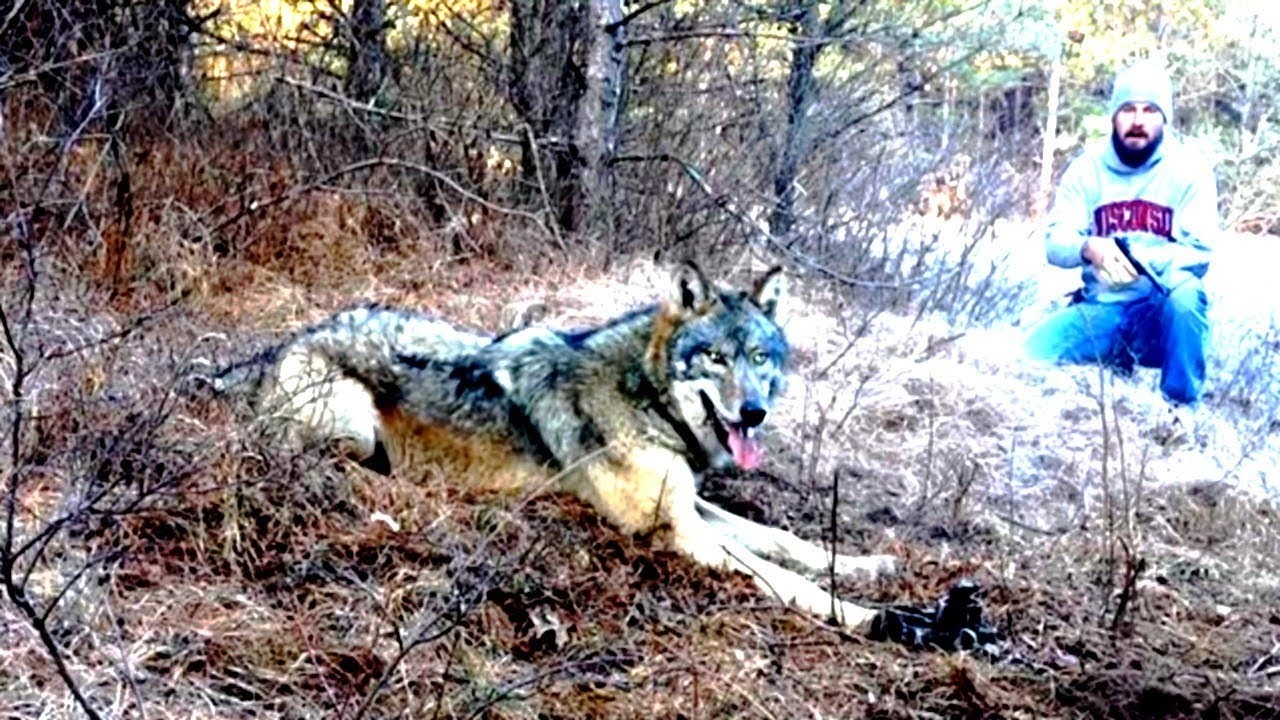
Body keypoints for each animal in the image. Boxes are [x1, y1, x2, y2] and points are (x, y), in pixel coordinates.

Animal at [212, 263, 911, 632]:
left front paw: (868, 565)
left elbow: (783, 541)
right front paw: (872, 617)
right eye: (715, 357)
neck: (646, 396)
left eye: (760, 358)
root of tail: (284, 343)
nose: (754, 412)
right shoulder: (677, 532)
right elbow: (780, 576)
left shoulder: (691, 507)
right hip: (354, 430)